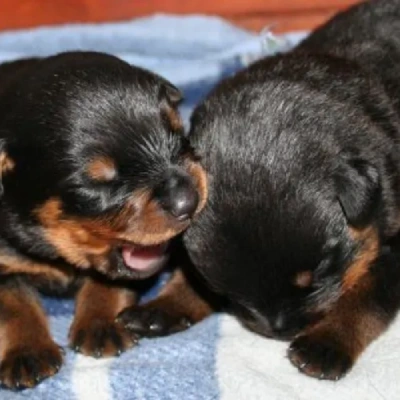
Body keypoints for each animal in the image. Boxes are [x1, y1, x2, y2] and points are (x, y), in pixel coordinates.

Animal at [0, 51, 209, 390]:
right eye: (98, 183)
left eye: (178, 136)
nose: (188, 201)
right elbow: (13, 304)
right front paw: (27, 353)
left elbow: (111, 282)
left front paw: (101, 324)